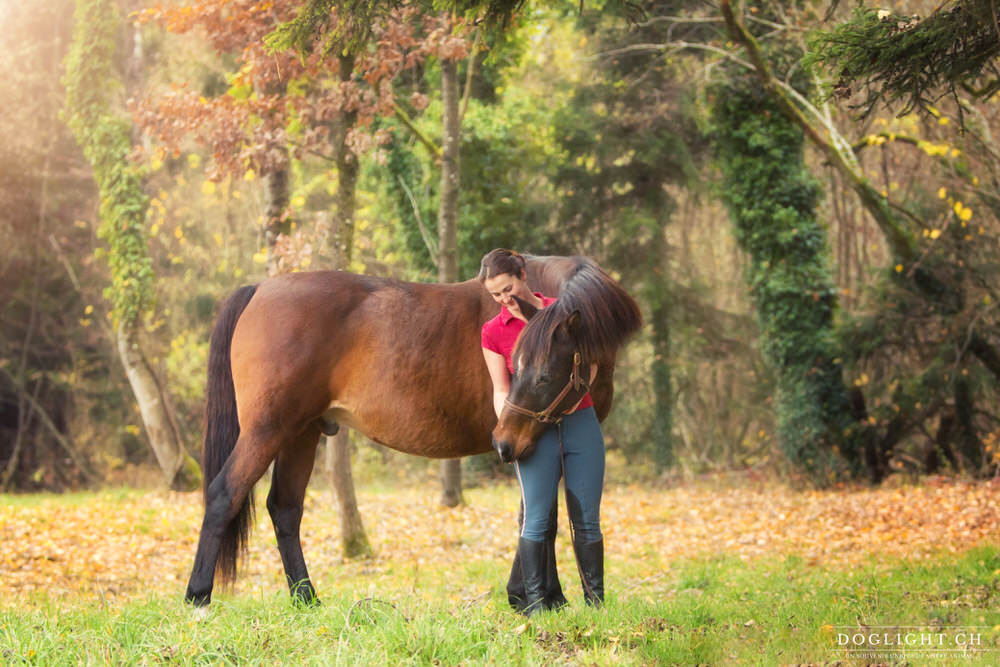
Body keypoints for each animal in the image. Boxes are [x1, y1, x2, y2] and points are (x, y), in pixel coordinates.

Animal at [186, 253, 640, 608]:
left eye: (543, 374)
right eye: (517, 365)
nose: (499, 440)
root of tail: (261, 290)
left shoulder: (535, 437)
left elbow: (538, 514)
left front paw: (538, 596)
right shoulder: (533, 439)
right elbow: (539, 514)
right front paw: (538, 597)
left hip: (301, 432)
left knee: (284, 509)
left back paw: (306, 599)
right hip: (267, 429)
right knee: (224, 493)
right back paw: (198, 596)